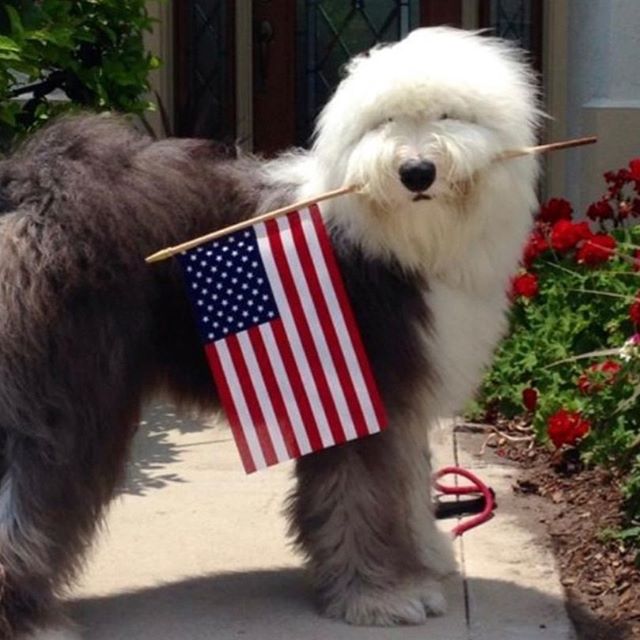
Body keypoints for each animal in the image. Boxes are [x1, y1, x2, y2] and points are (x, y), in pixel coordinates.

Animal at [0, 27, 540, 636]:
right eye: (384, 123)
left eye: (449, 115)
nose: (416, 172)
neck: (398, 237)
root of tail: (32, 191)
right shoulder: (355, 389)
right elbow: (362, 491)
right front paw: (379, 595)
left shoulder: (398, 398)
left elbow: (405, 483)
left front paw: (425, 557)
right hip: (66, 394)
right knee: (30, 496)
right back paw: (29, 619)